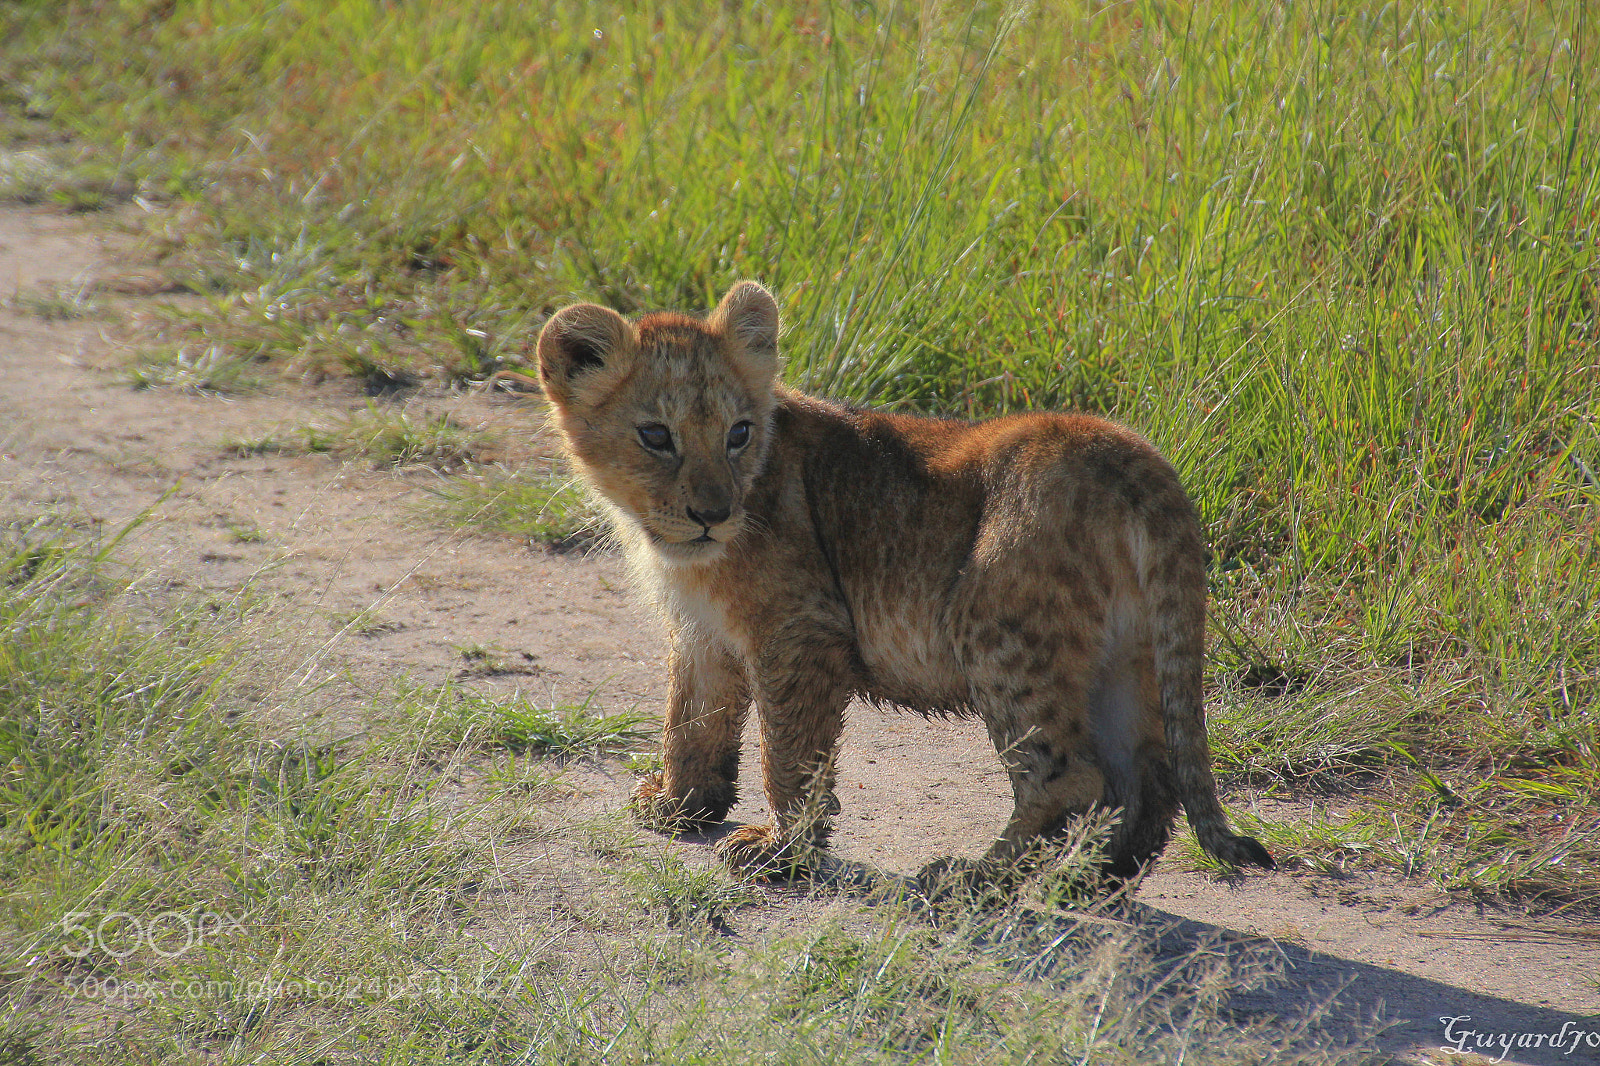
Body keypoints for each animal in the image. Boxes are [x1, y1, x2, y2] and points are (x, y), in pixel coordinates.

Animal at [535, 281, 1272, 892]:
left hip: (1000, 629)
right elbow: (692, 721)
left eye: (738, 434)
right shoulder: (700, 630)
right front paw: (679, 806)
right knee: (1144, 783)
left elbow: (790, 753)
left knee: (1071, 777)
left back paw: (974, 881)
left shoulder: (801, 628)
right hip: (1125, 651)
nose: (711, 514)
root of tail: (1132, 455)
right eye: (656, 436)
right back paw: (1087, 883)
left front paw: (780, 852)